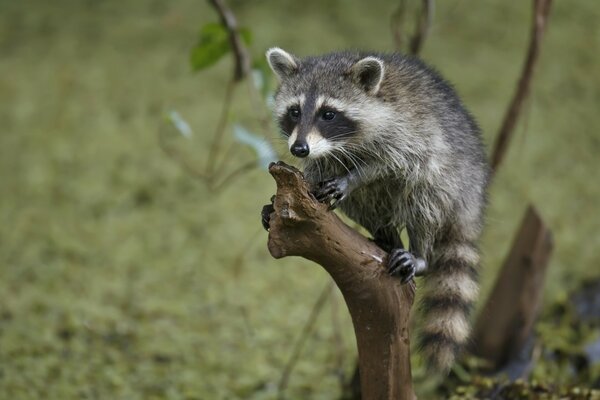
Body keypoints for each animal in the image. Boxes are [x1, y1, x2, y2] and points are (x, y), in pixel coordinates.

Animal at [262, 47, 488, 372]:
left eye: (328, 114)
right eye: (294, 111)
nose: (299, 149)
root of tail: (474, 197)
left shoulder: (408, 131)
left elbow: (393, 164)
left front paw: (353, 177)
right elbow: (318, 169)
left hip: (451, 179)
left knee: (423, 196)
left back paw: (419, 253)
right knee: (364, 205)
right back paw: (386, 236)